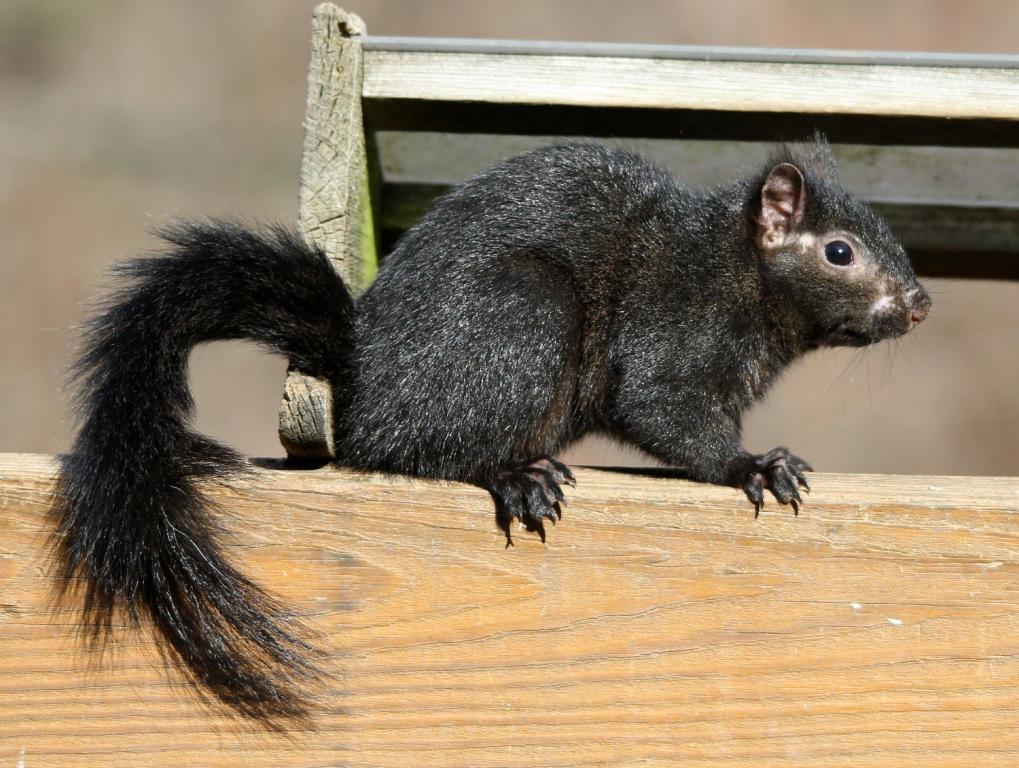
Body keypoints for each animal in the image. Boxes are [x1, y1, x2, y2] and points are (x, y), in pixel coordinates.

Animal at [49, 136, 933, 725]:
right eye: (839, 252)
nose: (919, 302)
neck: (738, 275)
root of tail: (364, 384)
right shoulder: (670, 334)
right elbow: (665, 412)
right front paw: (755, 464)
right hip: (523, 315)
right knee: (422, 448)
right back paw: (513, 474)